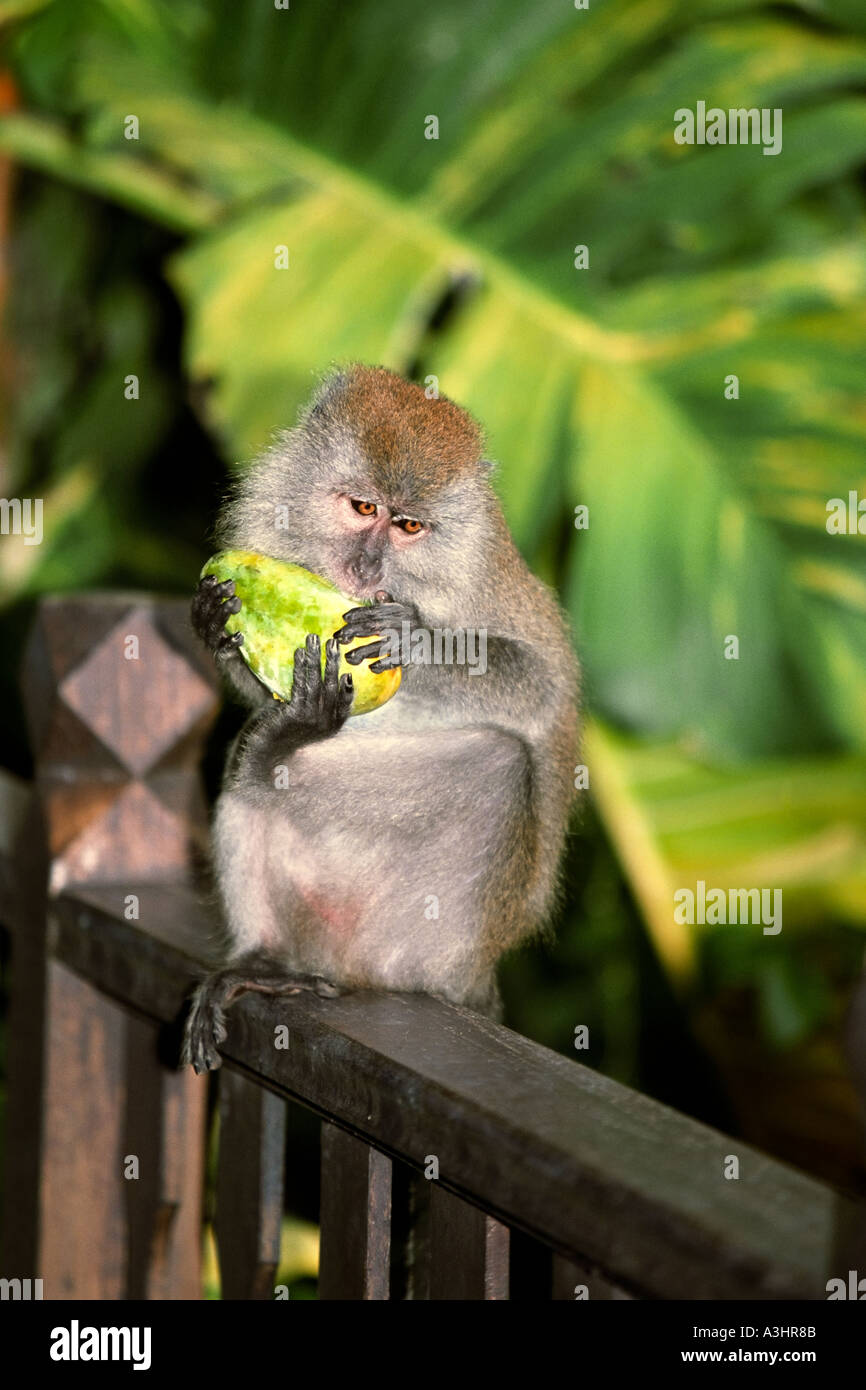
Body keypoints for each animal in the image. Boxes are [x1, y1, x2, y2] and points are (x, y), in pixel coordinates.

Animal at [180, 364, 578, 1067]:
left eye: (409, 527)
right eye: (364, 509)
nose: (363, 568)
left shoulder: (479, 581)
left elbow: (540, 686)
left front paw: (413, 640)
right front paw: (213, 626)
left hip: (429, 939)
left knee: (501, 763)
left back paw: (279, 751)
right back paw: (263, 957)